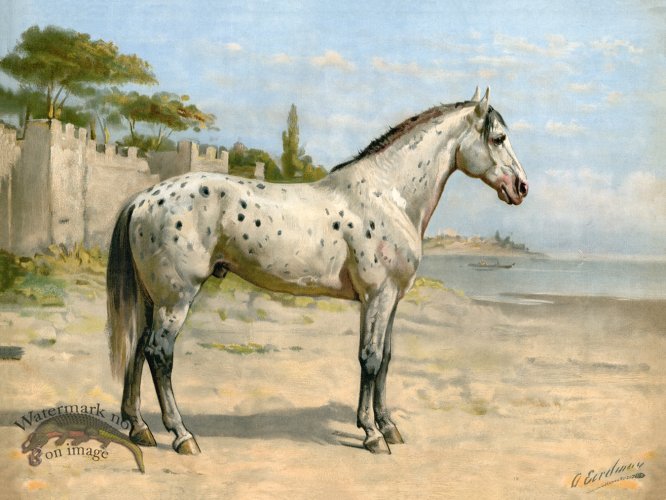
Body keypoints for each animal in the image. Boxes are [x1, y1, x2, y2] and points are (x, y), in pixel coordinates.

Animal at [106, 87, 528, 456]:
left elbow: (386, 359)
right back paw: (182, 436)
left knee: (138, 349)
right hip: (175, 298)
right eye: (498, 138)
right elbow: (370, 359)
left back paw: (140, 428)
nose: (521, 187)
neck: (389, 195)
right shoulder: (377, 297)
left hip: (153, 298)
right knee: (159, 352)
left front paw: (389, 425)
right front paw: (372, 435)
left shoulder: (390, 299)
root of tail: (143, 198)